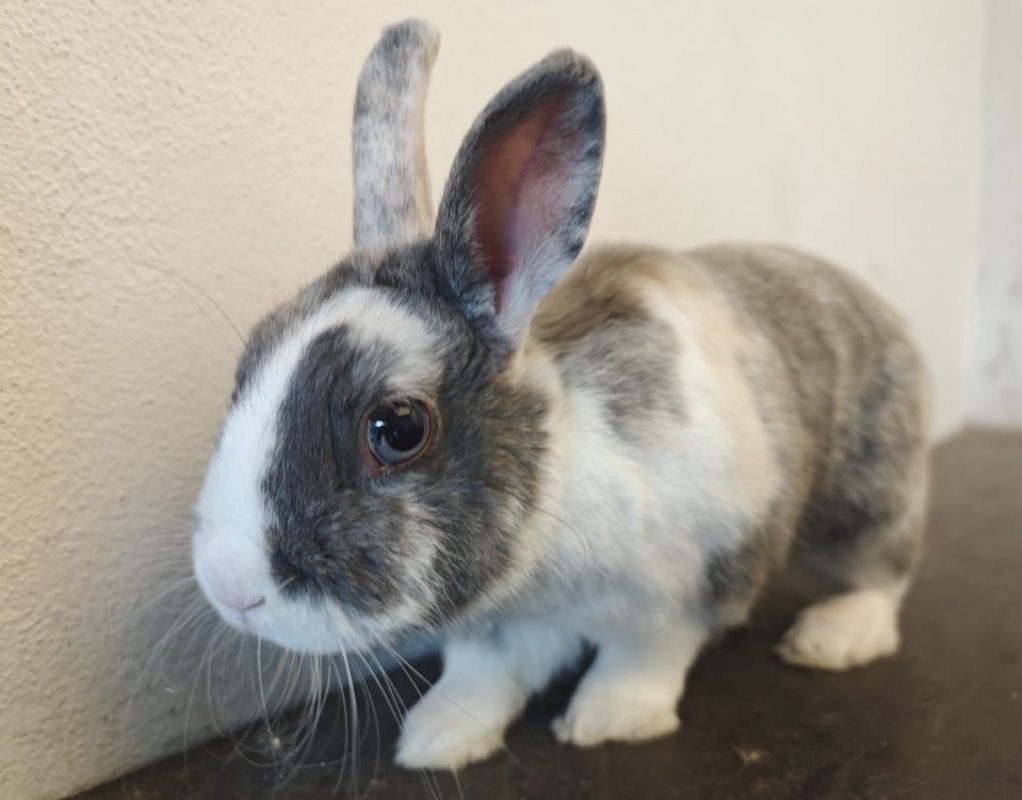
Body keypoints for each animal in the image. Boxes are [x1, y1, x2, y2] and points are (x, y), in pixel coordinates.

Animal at [192, 18, 929, 771]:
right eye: (246, 367)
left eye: (397, 428)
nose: (228, 585)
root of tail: (865, 296)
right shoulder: (496, 627)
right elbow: (483, 678)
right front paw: (436, 739)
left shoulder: (682, 589)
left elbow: (641, 662)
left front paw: (606, 720)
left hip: (867, 493)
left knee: (886, 572)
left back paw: (829, 638)